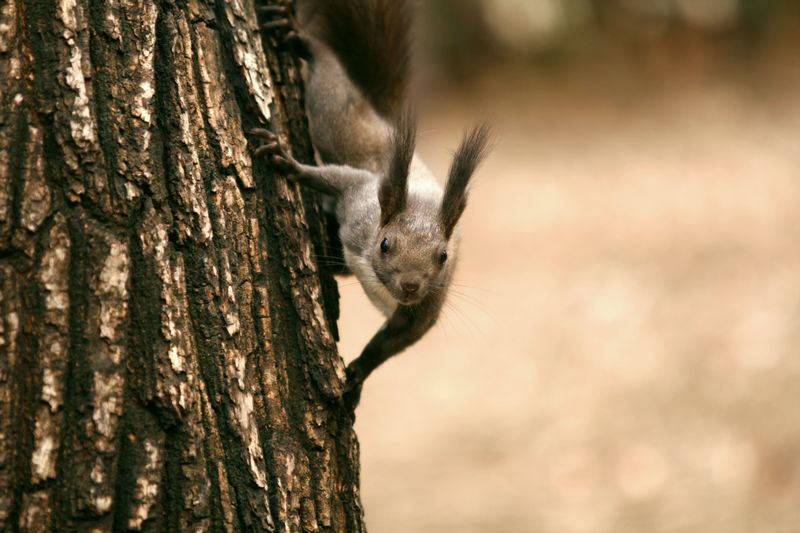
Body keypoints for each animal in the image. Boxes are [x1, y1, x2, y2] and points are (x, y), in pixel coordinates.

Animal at [252, 0, 488, 406]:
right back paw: (302, 40)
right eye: (385, 244)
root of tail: (383, 123)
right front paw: (287, 162)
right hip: (350, 133)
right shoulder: (360, 198)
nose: (410, 285)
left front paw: (357, 375)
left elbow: (387, 346)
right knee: (335, 93)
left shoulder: (424, 309)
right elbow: (331, 177)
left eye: (443, 257)